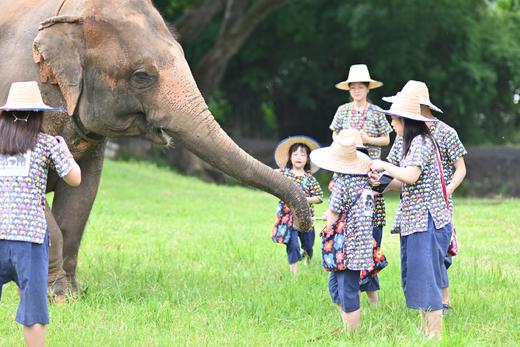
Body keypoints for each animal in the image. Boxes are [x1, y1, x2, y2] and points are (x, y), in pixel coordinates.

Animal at [0, 0, 310, 300]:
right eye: (142, 76)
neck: (69, 14)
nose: (300, 223)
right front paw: (59, 296)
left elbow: (81, 195)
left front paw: (73, 295)